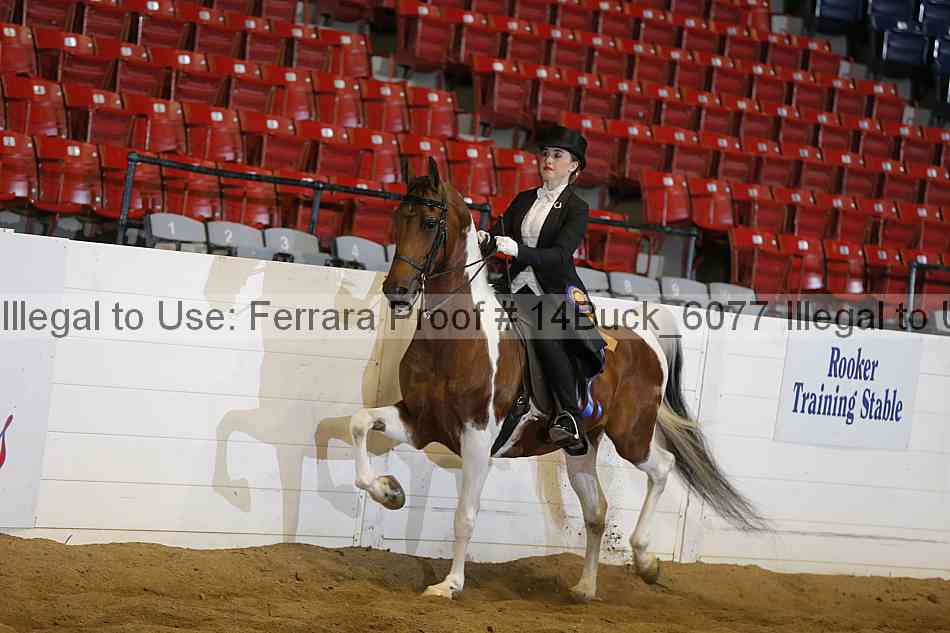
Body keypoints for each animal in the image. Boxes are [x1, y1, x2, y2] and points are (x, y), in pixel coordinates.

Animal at [348, 158, 763, 601]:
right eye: (397, 219)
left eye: (428, 222)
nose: (397, 291)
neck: (457, 338)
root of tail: (647, 337)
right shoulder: (419, 420)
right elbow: (359, 423)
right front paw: (389, 491)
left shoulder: (477, 437)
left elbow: (465, 515)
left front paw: (450, 584)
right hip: (582, 446)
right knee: (597, 510)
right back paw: (585, 586)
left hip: (631, 436)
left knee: (662, 468)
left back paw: (646, 561)